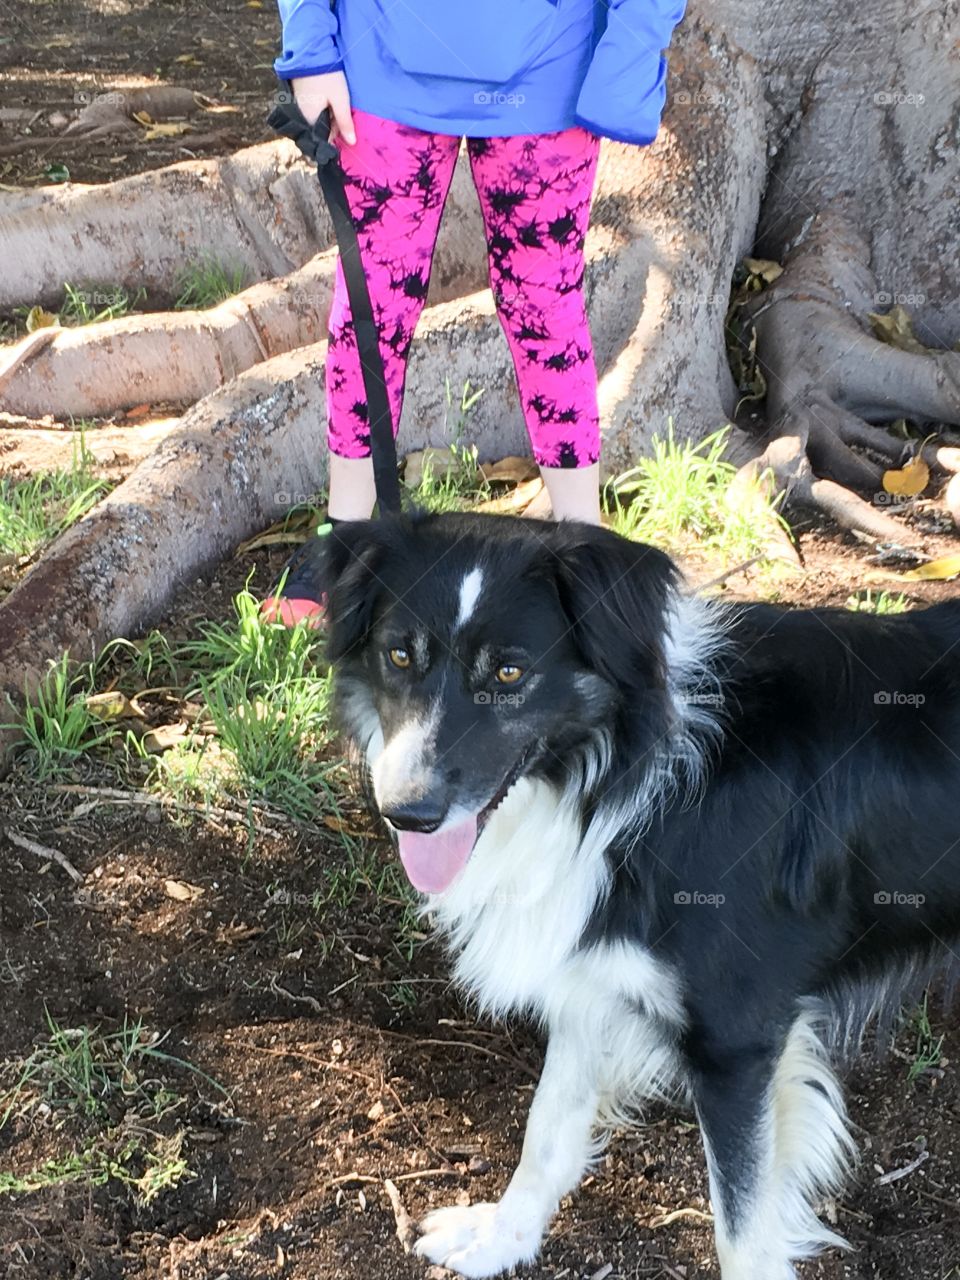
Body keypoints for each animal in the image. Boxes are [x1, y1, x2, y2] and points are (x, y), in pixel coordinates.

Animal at [316, 509, 960, 1280]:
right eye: (399, 656)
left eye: (510, 671)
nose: (407, 813)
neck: (620, 774)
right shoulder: (590, 980)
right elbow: (546, 1130)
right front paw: (503, 1238)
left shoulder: (737, 1039)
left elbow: (742, 1230)